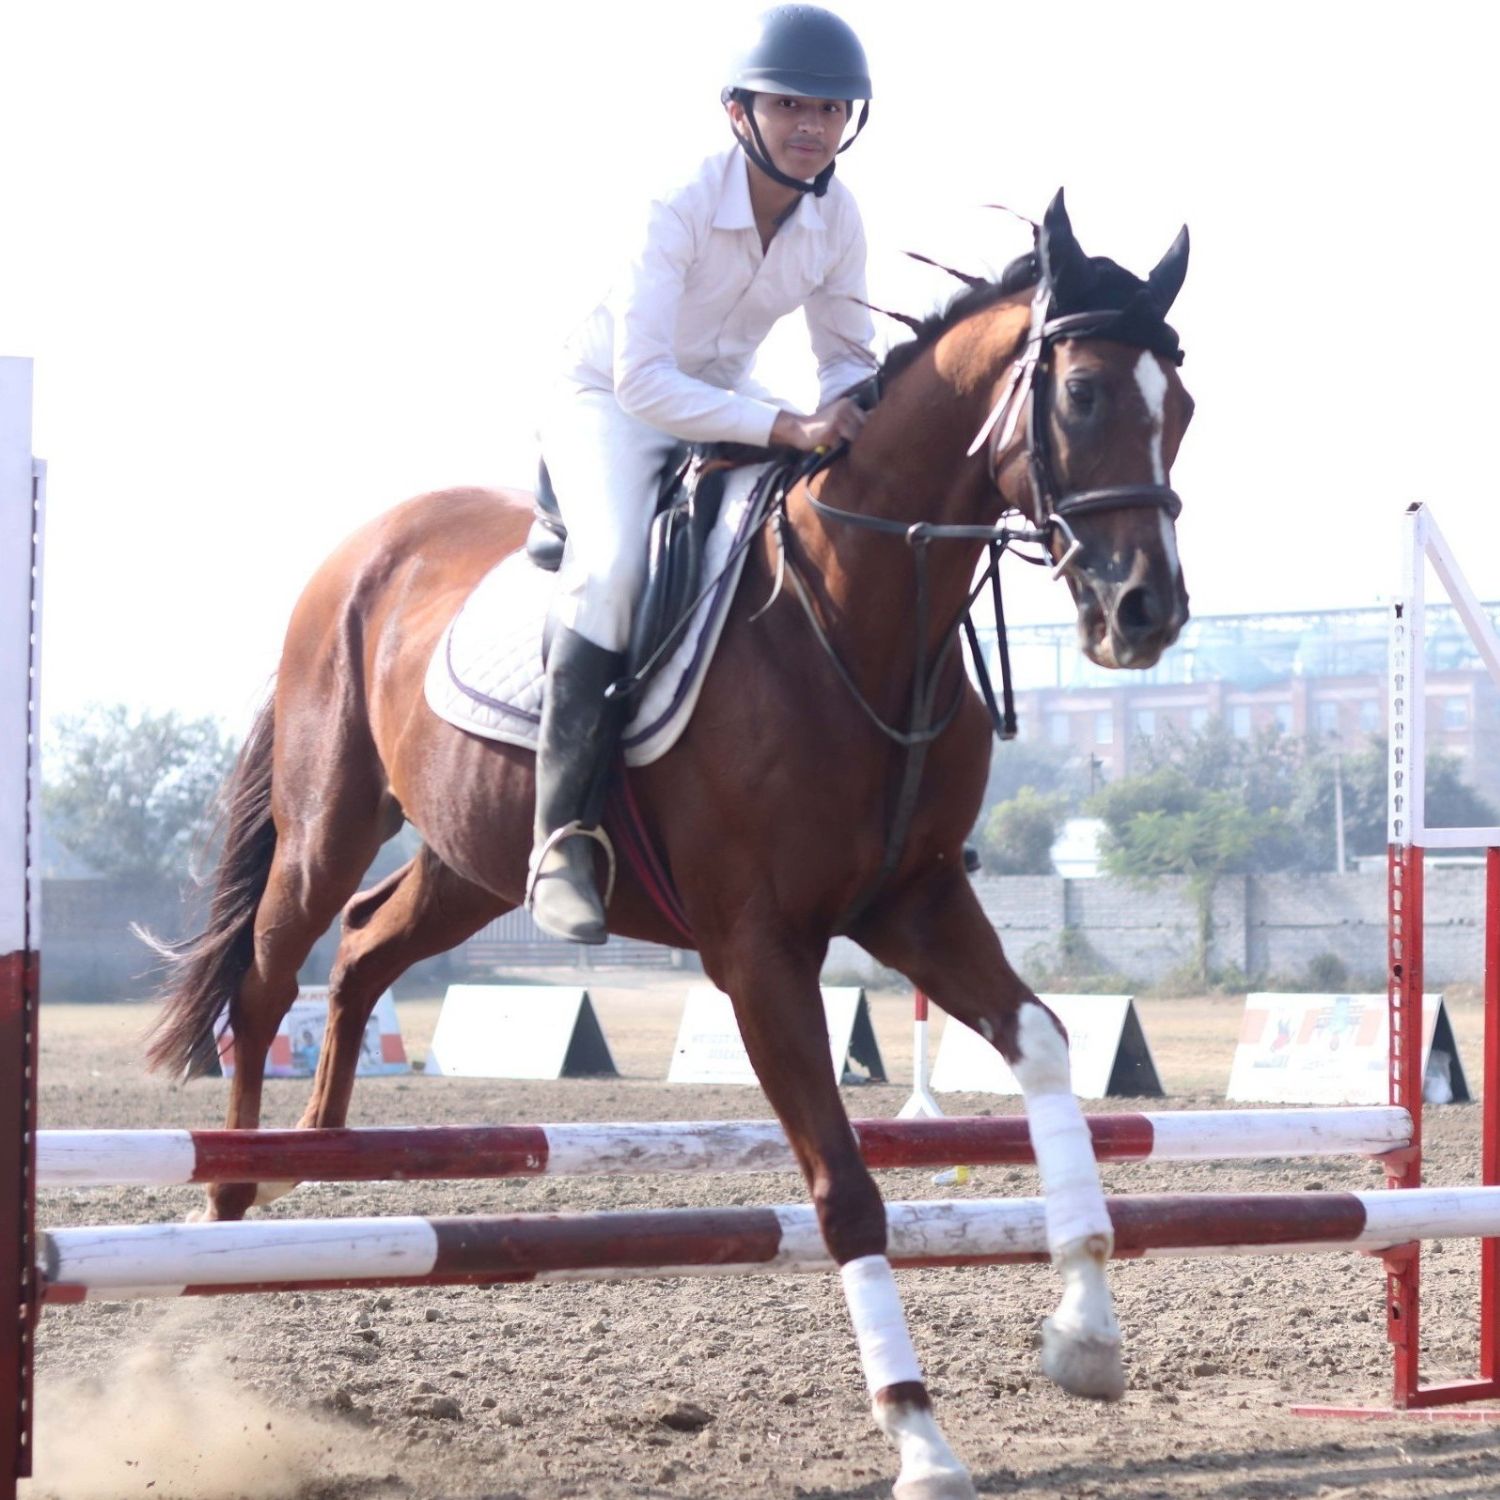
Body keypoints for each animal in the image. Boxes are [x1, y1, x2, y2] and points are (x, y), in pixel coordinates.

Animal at [146, 190, 1192, 1500]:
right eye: (1086, 394)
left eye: (1182, 409)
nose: (1146, 614)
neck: (855, 608)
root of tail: (362, 546)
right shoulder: (757, 951)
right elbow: (845, 1191)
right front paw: (919, 1435)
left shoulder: (913, 904)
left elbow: (1047, 1048)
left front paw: (1085, 1338)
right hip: (329, 815)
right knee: (270, 966)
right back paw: (238, 1184)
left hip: (472, 857)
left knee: (369, 945)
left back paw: (320, 1149)